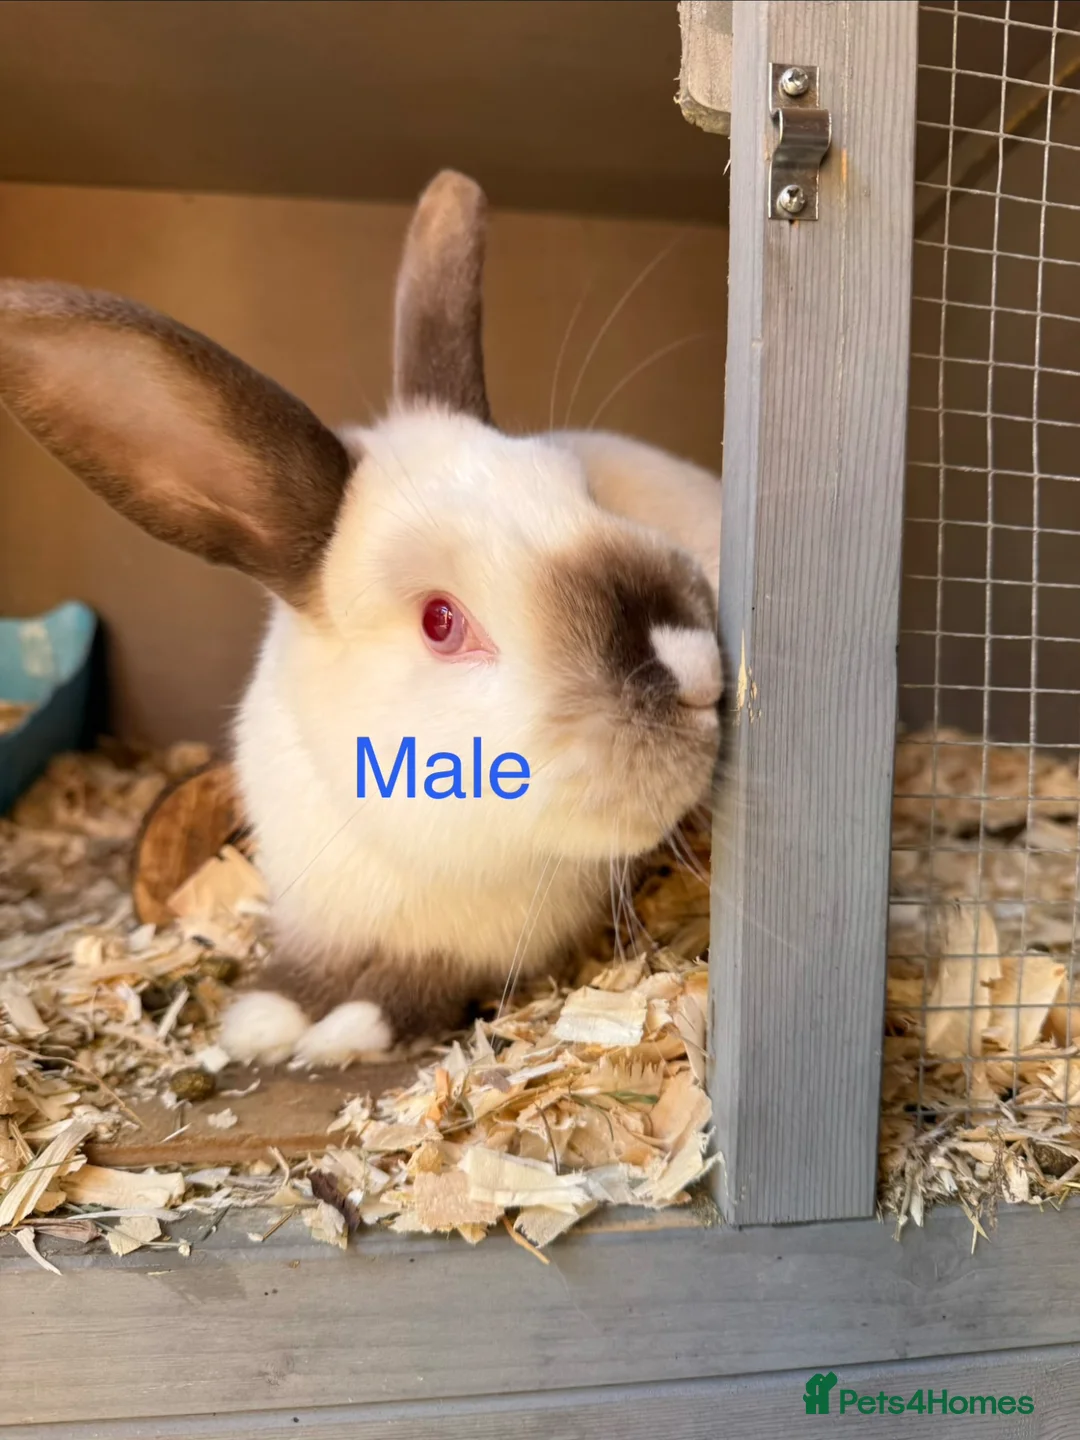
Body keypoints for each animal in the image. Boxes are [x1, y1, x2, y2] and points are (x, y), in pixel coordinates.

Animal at [0, 169, 723, 1067]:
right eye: (440, 621)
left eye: (585, 494)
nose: (700, 669)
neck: (402, 851)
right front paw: (268, 1012)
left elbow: (421, 986)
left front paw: (342, 1025)